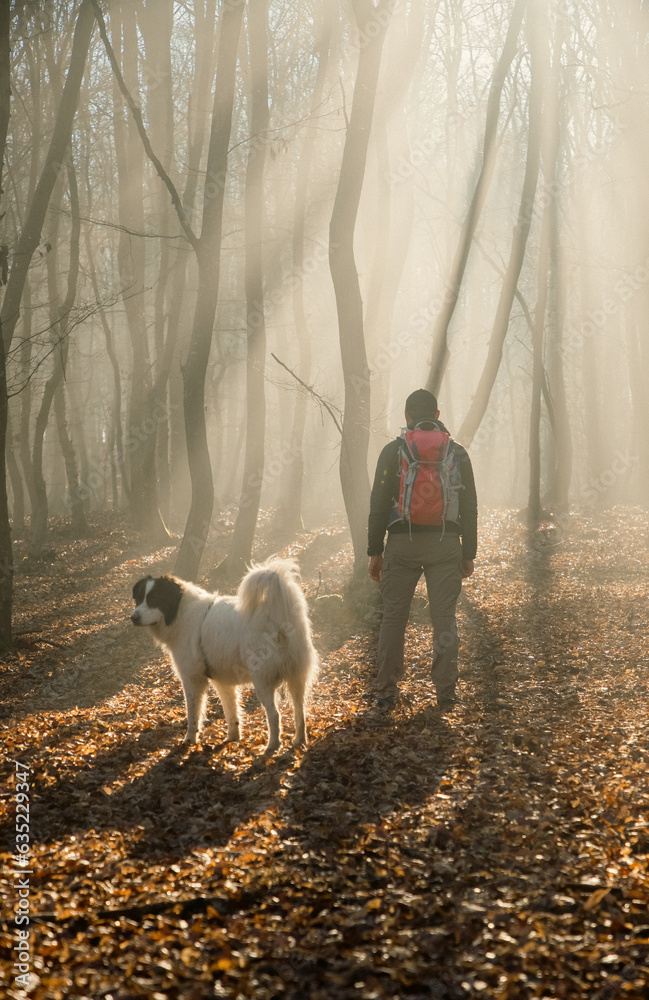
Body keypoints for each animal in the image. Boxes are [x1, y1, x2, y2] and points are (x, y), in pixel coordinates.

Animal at [130, 560, 318, 752]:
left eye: (153, 599)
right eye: (139, 598)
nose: (133, 617)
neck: (180, 611)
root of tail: (276, 616)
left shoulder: (192, 679)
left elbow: (193, 714)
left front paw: (189, 740)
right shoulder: (223, 682)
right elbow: (231, 711)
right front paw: (232, 738)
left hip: (262, 681)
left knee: (274, 714)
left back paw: (272, 745)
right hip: (296, 678)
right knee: (300, 711)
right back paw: (299, 740)